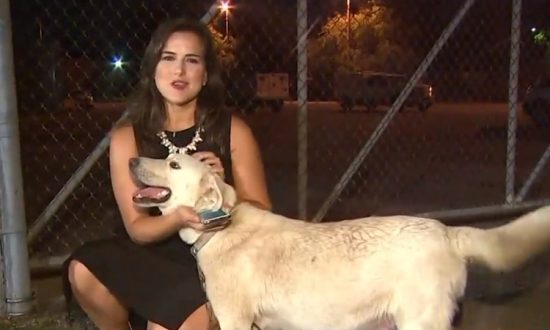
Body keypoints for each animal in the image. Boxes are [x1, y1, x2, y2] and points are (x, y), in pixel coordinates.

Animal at [128, 153, 550, 330]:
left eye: (173, 164)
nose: (130, 159)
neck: (221, 227)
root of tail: (446, 231)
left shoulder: (234, 320)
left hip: (419, 323)